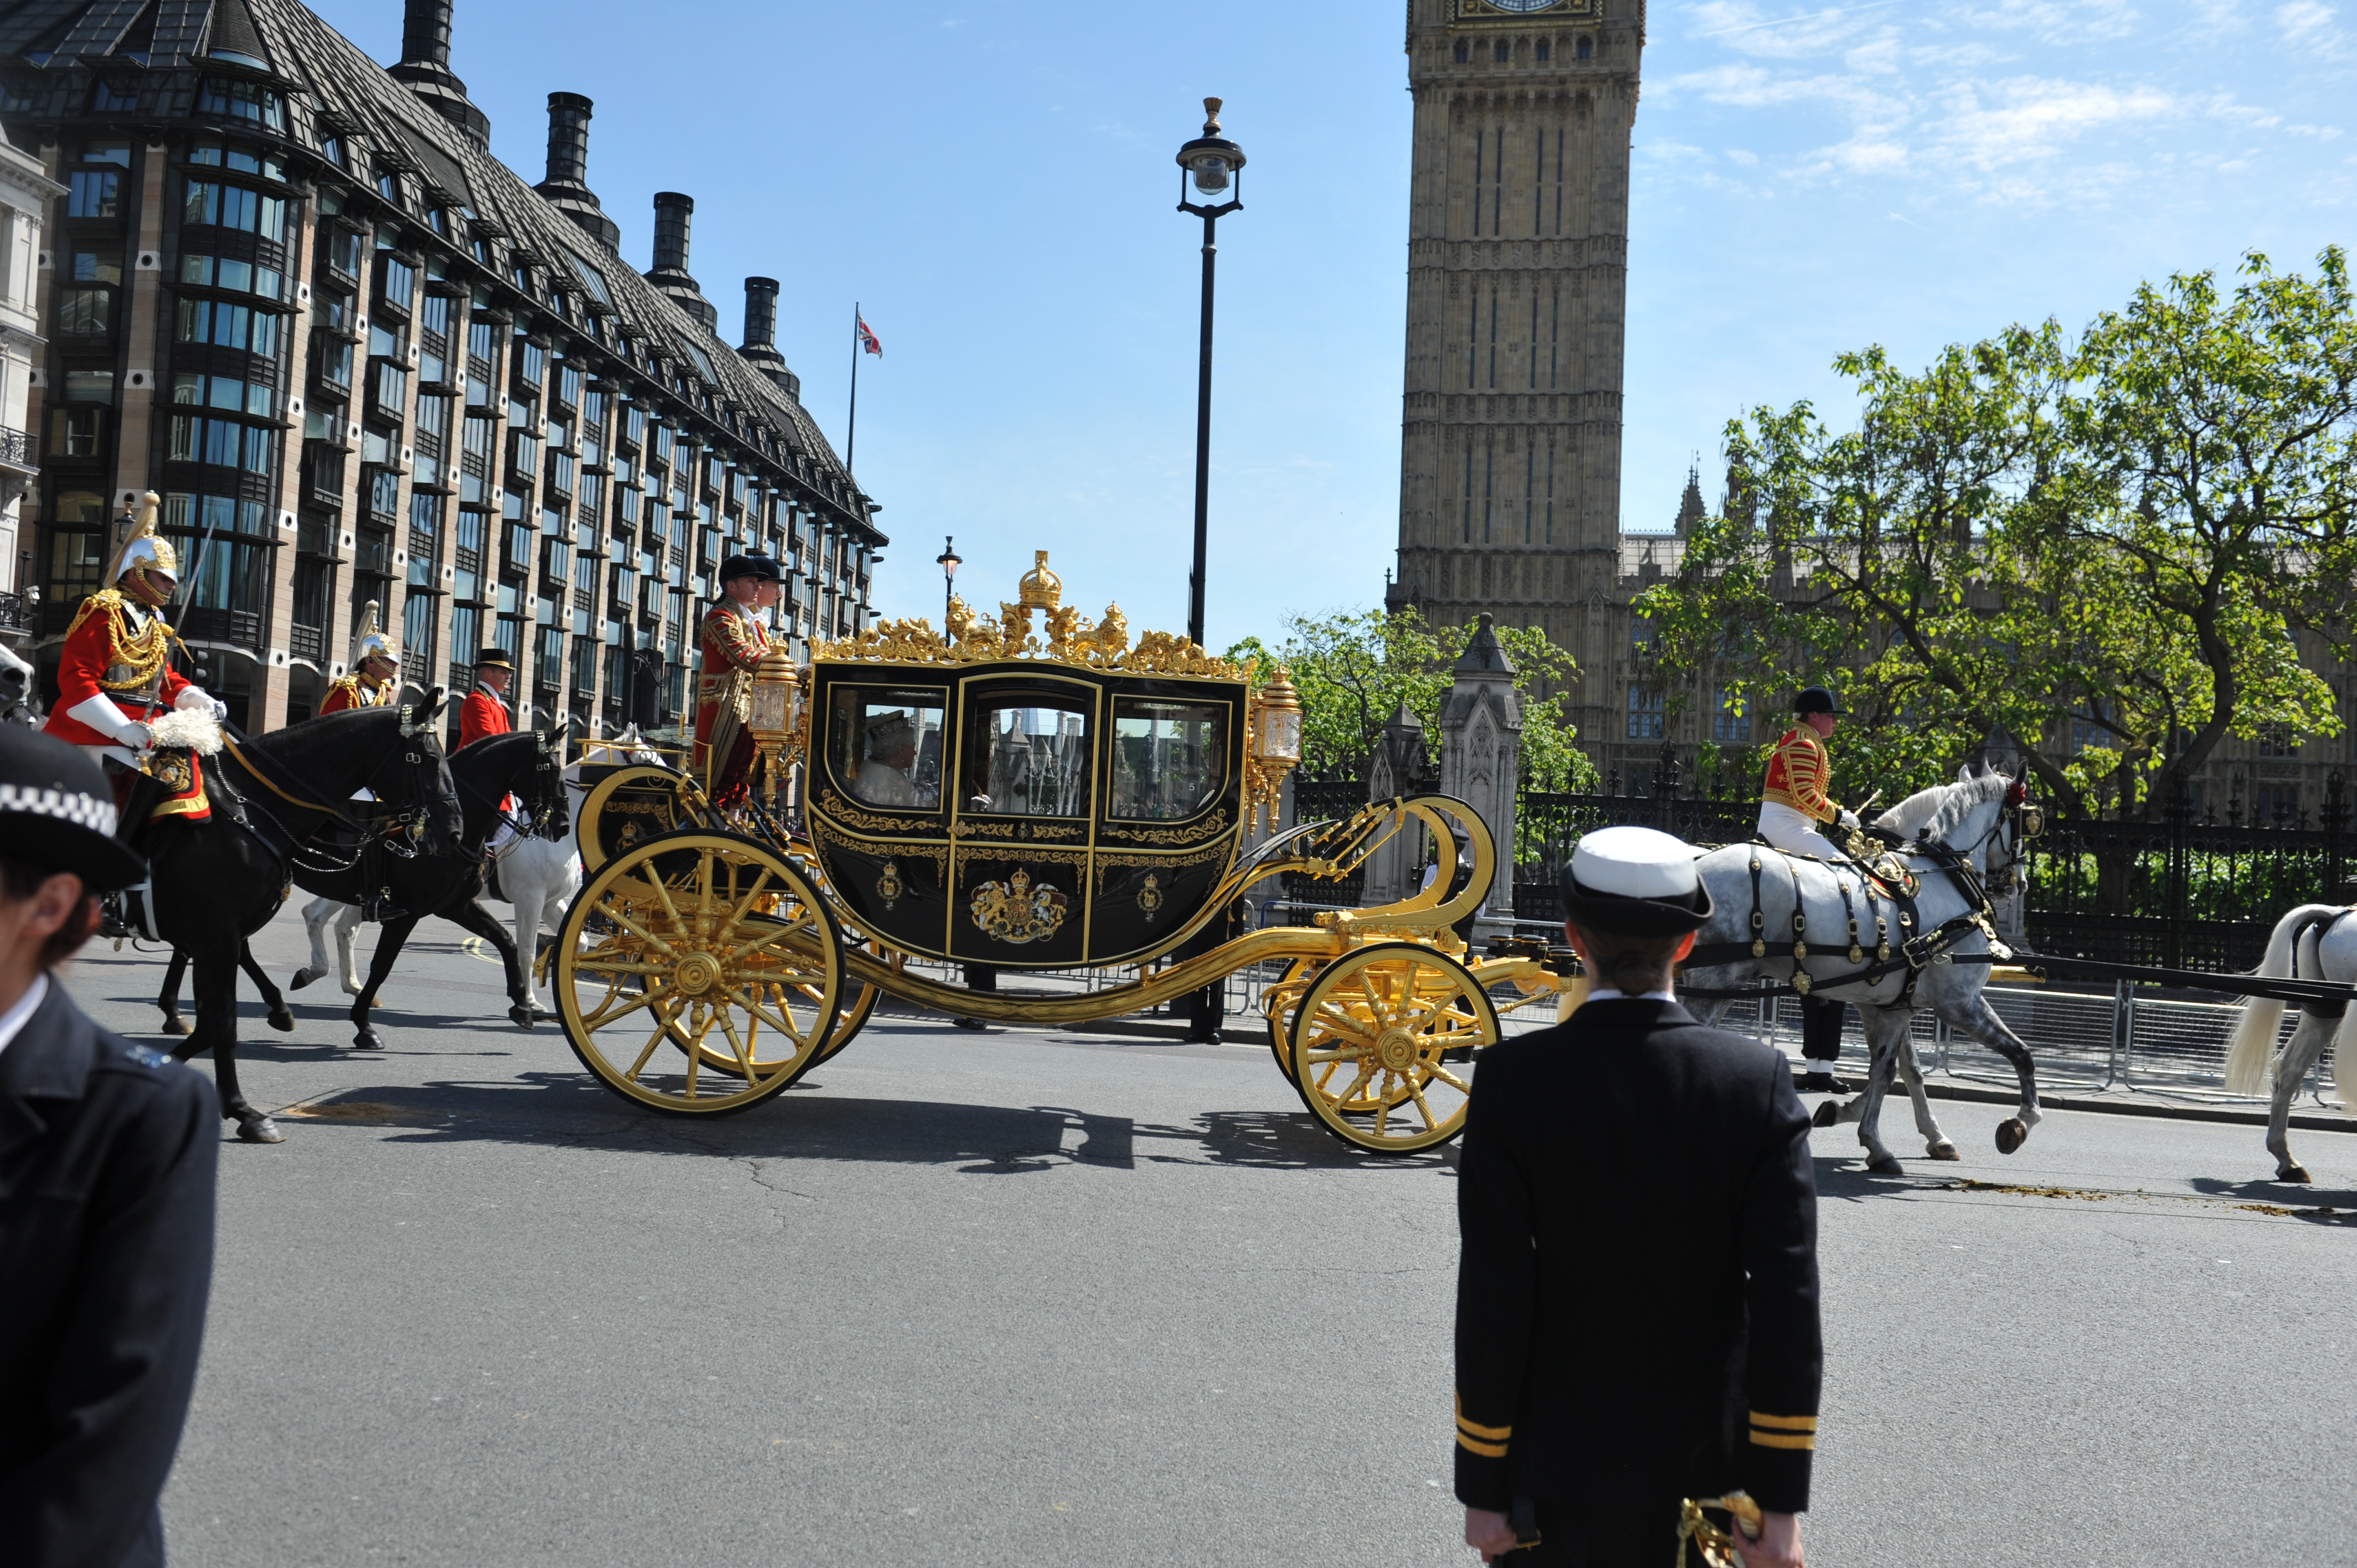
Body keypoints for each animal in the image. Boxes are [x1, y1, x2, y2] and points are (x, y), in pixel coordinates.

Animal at [1678, 764, 2046, 1169]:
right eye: (2028, 820)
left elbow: (1899, 1071)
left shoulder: (1892, 1005)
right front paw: (2022, 1121)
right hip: (1713, 984)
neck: (1944, 876)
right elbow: (2020, 1053)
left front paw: (1905, 1134)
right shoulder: (1959, 1003)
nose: (2019, 884)